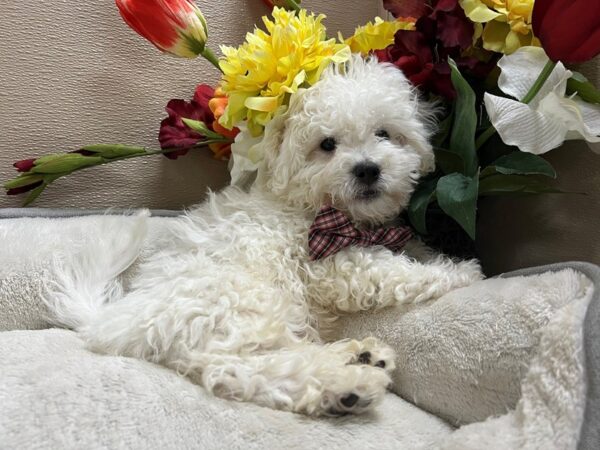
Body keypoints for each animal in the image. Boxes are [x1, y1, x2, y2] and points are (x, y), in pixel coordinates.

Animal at [50, 57, 482, 418]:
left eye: (384, 134)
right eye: (327, 145)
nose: (367, 169)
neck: (315, 205)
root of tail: (116, 319)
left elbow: (409, 248)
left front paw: (434, 255)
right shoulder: (329, 262)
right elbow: (390, 271)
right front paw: (461, 272)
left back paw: (360, 356)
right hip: (241, 304)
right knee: (240, 368)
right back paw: (347, 386)